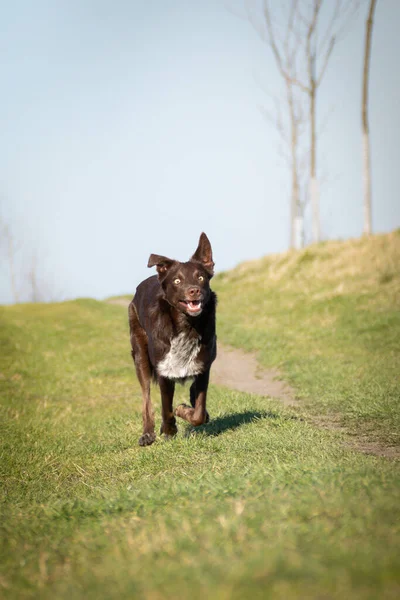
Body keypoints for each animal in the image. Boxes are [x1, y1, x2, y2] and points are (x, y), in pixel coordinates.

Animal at [127, 233, 216, 446]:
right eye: (177, 281)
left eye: (200, 277)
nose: (194, 290)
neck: (186, 325)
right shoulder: (164, 371)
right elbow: (166, 408)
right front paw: (169, 428)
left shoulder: (203, 366)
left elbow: (199, 413)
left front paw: (185, 409)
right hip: (140, 356)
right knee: (146, 399)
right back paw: (148, 434)